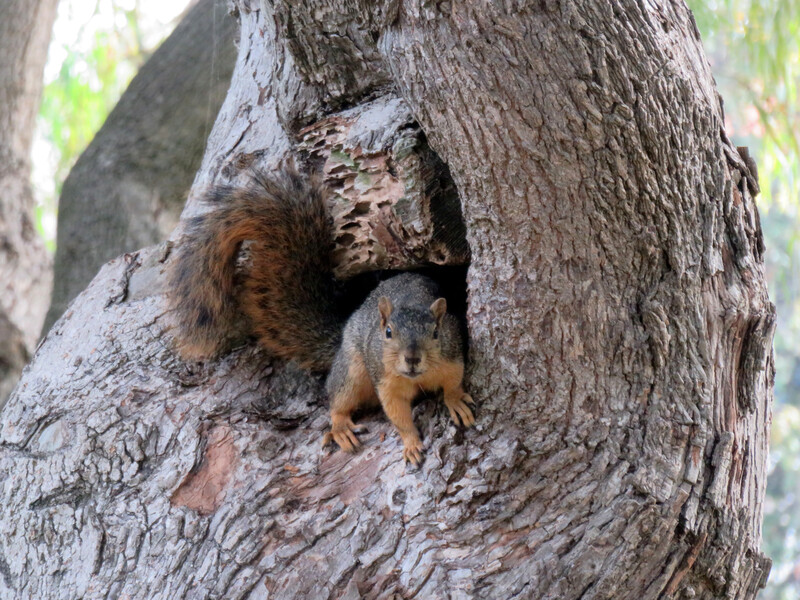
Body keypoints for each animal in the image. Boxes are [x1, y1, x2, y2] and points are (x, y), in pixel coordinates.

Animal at [166, 169, 472, 464]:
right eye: (388, 333)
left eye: (435, 332)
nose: (411, 358)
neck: (415, 377)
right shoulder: (385, 381)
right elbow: (398, 416)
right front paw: (410, 443)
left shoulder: (453, 354)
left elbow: (454, 381)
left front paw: (455, 401)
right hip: (352, 369)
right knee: (338, 398)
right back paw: (340, 427)